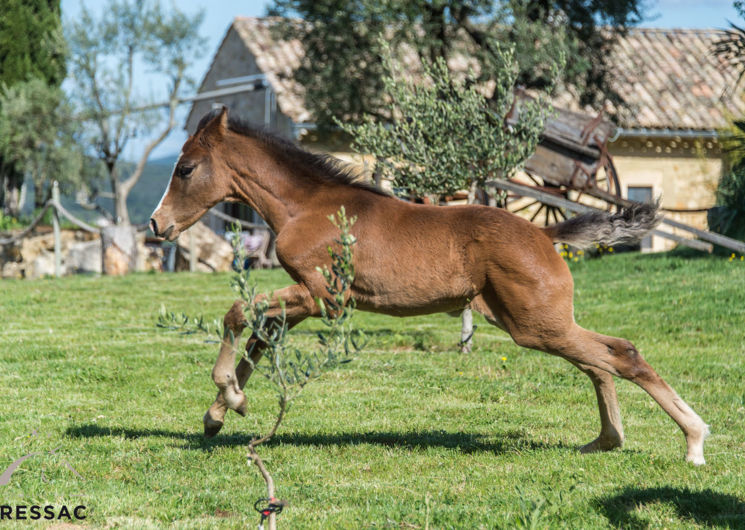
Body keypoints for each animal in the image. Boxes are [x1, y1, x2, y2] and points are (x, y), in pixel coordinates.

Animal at [151, 107, 708, 462]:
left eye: (186, 168)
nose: (158, 225)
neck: (308, 206)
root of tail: (545, 234)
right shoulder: (309, 301)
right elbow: (258, 339)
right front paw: (218, 414)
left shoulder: (324, 298)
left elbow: (237, 315)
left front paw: (228, 398)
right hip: (532, 321)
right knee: (602, 360)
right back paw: (608, 440)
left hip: (534, 324)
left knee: (620, 354)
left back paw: (693, 441)